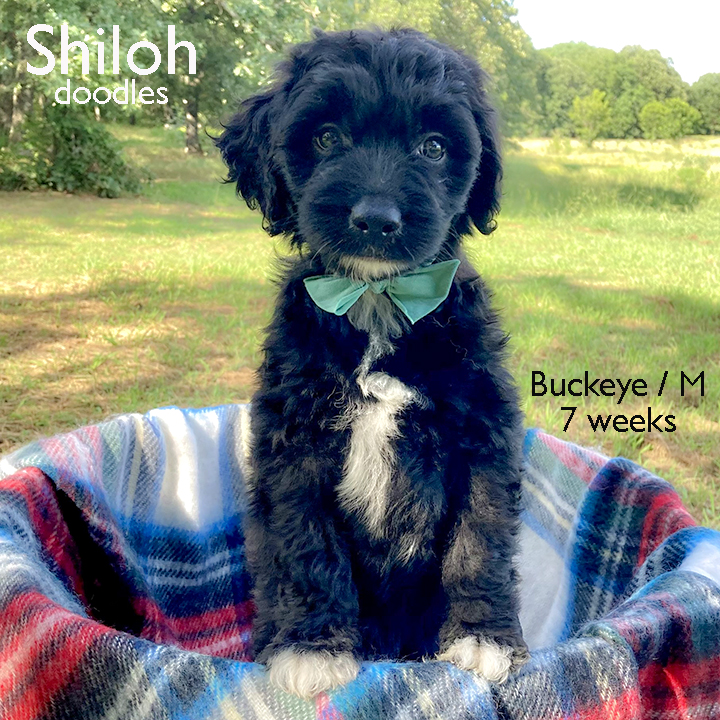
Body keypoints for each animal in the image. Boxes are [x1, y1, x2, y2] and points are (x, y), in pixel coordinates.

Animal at [216, 27, 528, 699]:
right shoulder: (296, 446)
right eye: (327, 137)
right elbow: (308, 546)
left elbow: (480, 537)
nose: (377, 219)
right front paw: (312, 646)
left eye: (434, 147)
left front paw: (481, 638)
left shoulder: (483, 436)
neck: (379, 301)